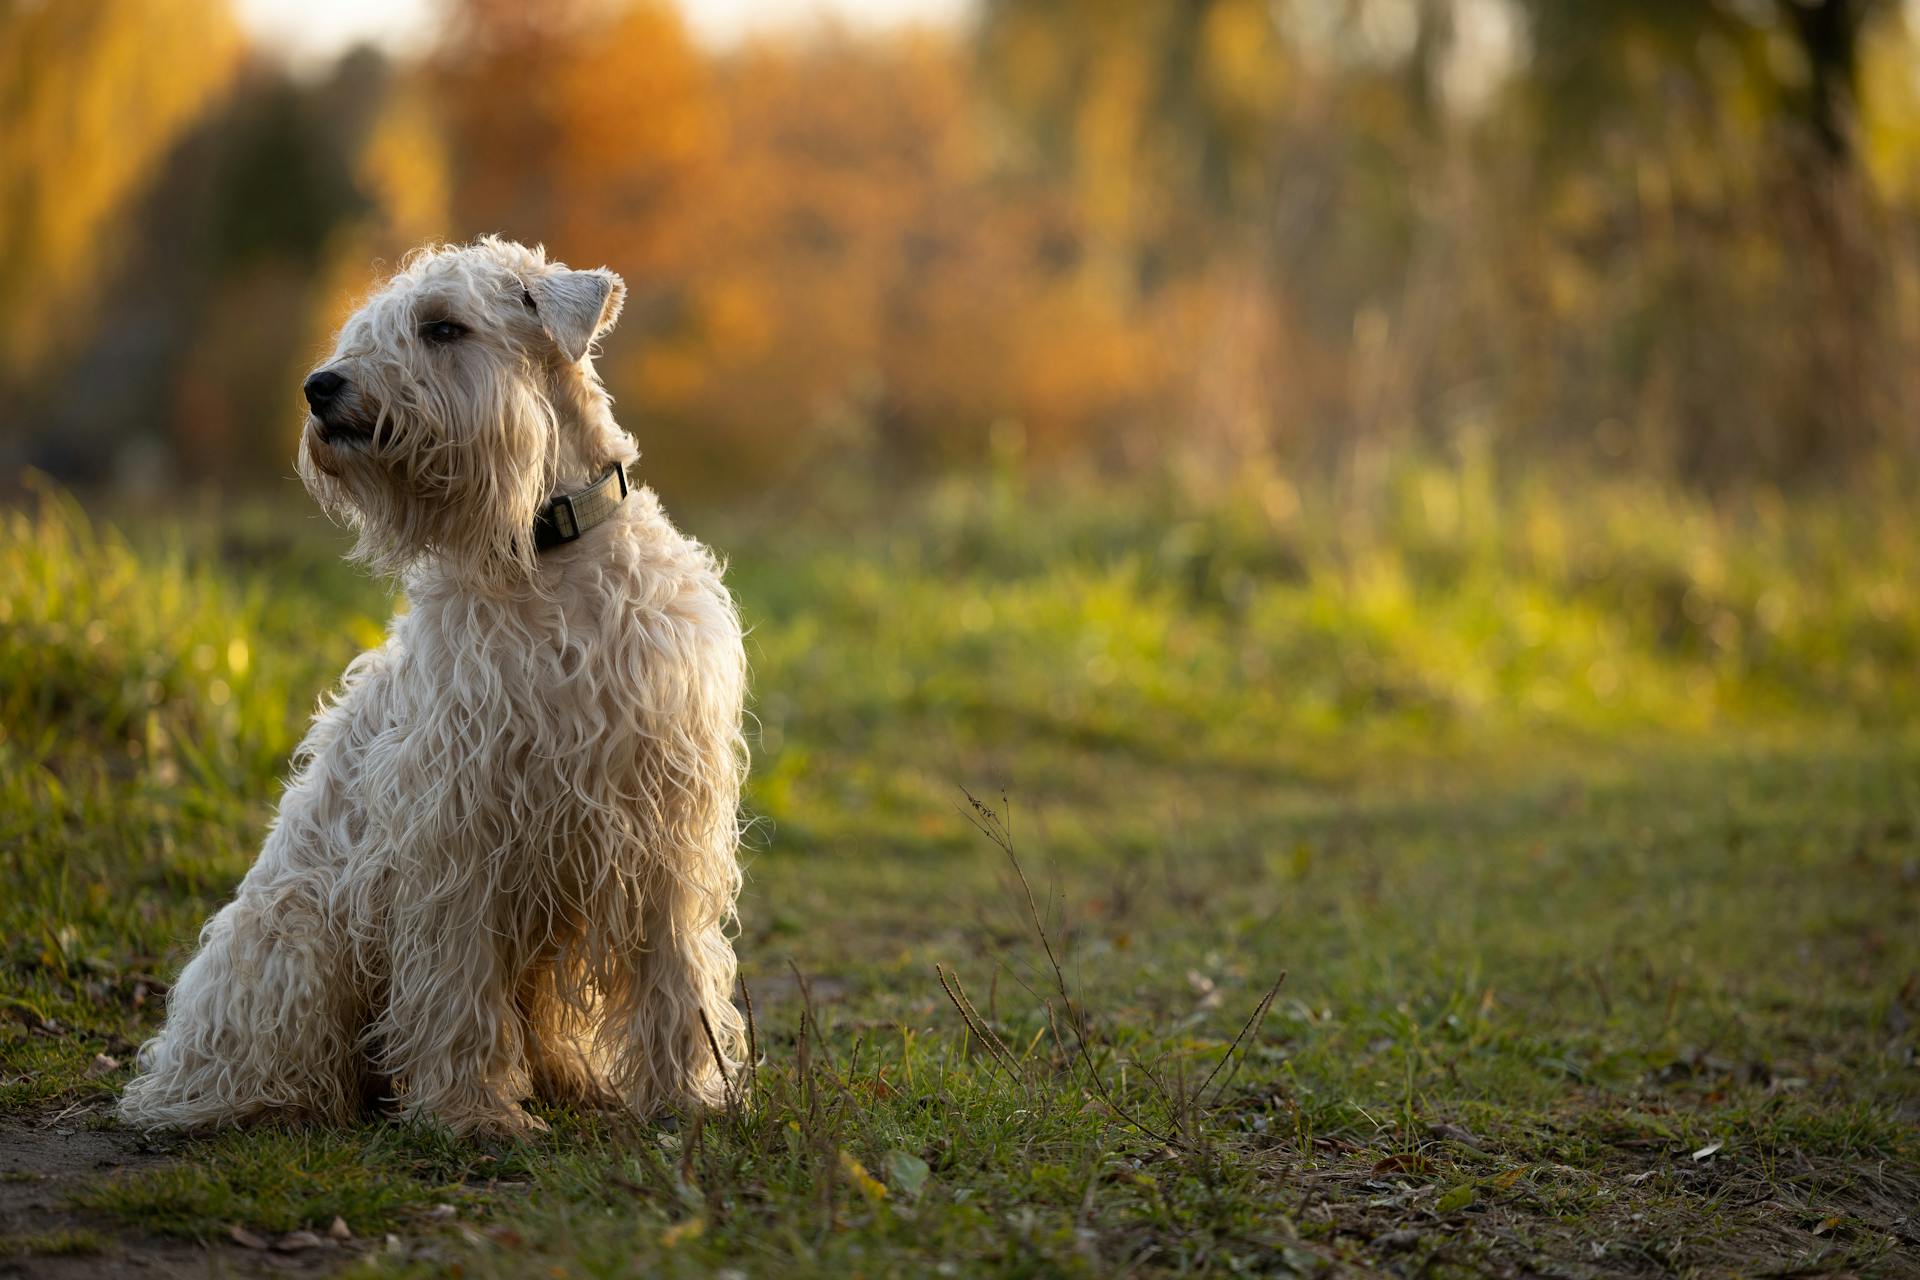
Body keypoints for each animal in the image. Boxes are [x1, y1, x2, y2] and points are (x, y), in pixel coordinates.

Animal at [118, 239, 748, 1143]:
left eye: (443, 327)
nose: (319, 386)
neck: (545, 555)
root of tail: (171, 1068)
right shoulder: (456, 822)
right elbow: (457, 981)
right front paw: (471, 1110)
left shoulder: (662, 818)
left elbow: (677, 972)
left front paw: (688, 1097)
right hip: (299, 936)